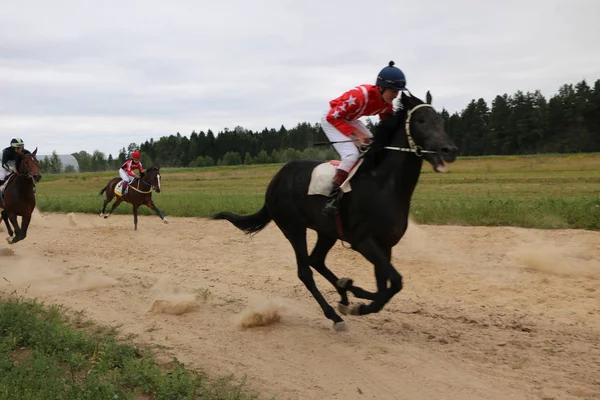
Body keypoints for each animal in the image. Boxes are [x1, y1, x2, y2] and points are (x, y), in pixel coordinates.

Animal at [214, 91, 460, 332]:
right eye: (421, 120)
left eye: (441, 120)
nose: (450, 150)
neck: (383, 185)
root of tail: (276, 179)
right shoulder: (363, 241)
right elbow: (395, 282)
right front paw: (359, 303)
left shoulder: (385, 245)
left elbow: (385, 286)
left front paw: (357, 297)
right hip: (293, 227)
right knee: (305, 271)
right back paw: (334, 314)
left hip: (327, 231)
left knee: (316, 260)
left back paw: (343, 291)